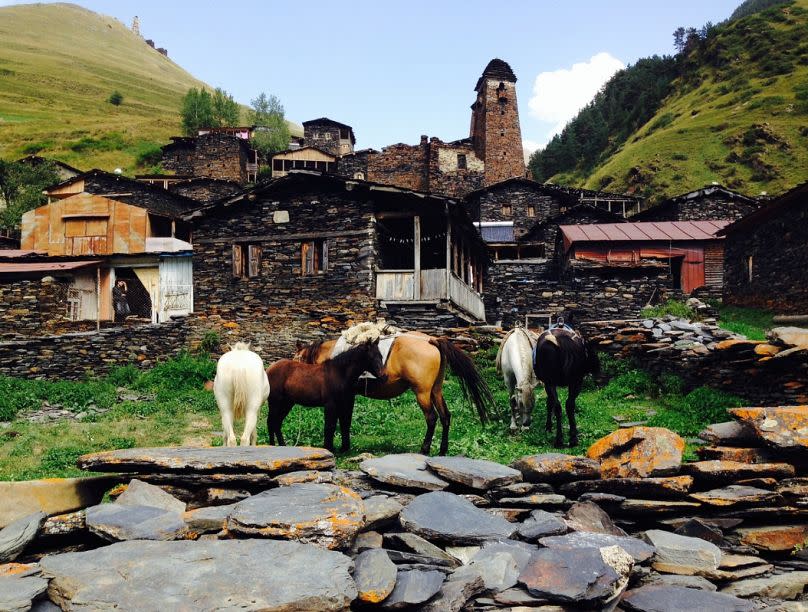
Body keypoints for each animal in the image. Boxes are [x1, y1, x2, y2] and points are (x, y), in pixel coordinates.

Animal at [296, 330, 492, 454]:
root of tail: (431, 340)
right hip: (435, 391)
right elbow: (346, 421)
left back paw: (424, 449)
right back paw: (443, 450)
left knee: (432, 418)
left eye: (296, 358)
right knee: (445, 416)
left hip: (422, 393)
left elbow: (343, 421)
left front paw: (344, 447)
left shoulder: (345, 396)